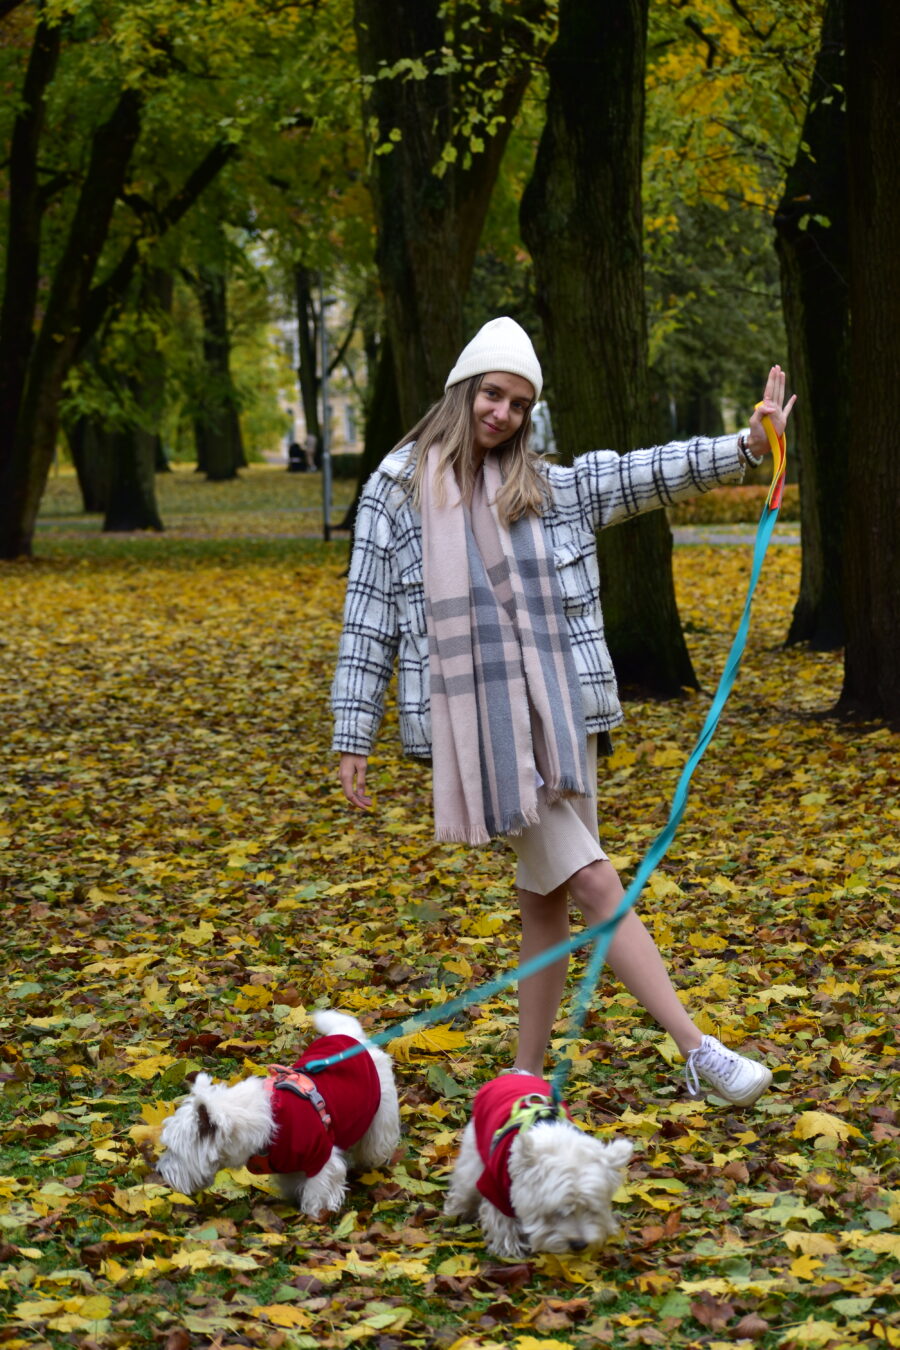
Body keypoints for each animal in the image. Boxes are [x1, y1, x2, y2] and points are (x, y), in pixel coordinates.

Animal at [156, 1009, 399, 1220]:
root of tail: (350, 1037)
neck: (266, 1122)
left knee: (376, 1142)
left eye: (174, 1150)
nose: (159, 1171)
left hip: (381, 1112)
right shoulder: (290, 1164)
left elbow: (319, 1187)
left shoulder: (321, 1156)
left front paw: (316, 1213)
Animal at [445, 1069, 634, 1258]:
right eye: (556, 1212)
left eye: (592, 1209)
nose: (579, 1244)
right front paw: (510, 1249)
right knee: (466, 1183)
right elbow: (503, 1219)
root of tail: (517, 1073)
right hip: (475, 1147)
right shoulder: (495, 1186)